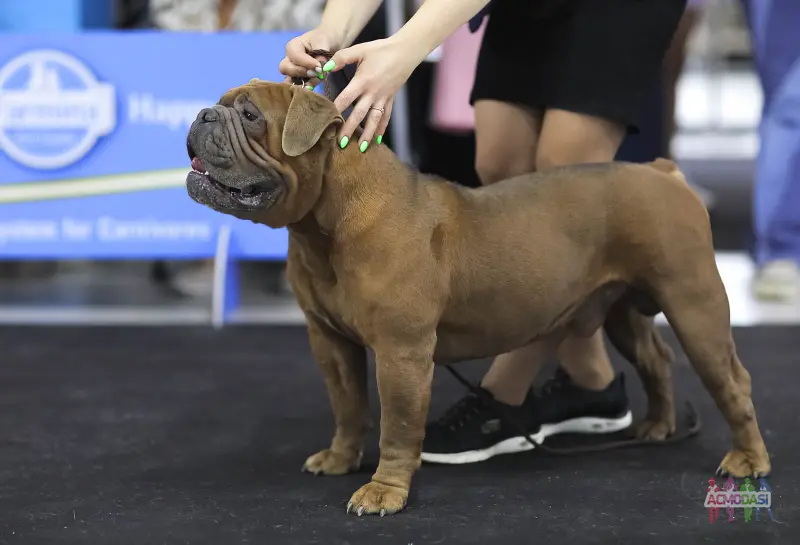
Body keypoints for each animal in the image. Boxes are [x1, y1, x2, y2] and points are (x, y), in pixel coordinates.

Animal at [184, 79, 772, 516]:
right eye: (223, 104)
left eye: (251, 115)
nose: (204, 113)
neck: (325, 223)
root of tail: (661, 172)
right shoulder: (330, 342)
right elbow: (348, 406)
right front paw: (341, 457)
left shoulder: (402, 354)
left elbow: (397, 425)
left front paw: (384, 491)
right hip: (621, 307)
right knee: (656, 359)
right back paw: (657, 427)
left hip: (694, 305)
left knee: (733, 383)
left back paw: (748, 460)